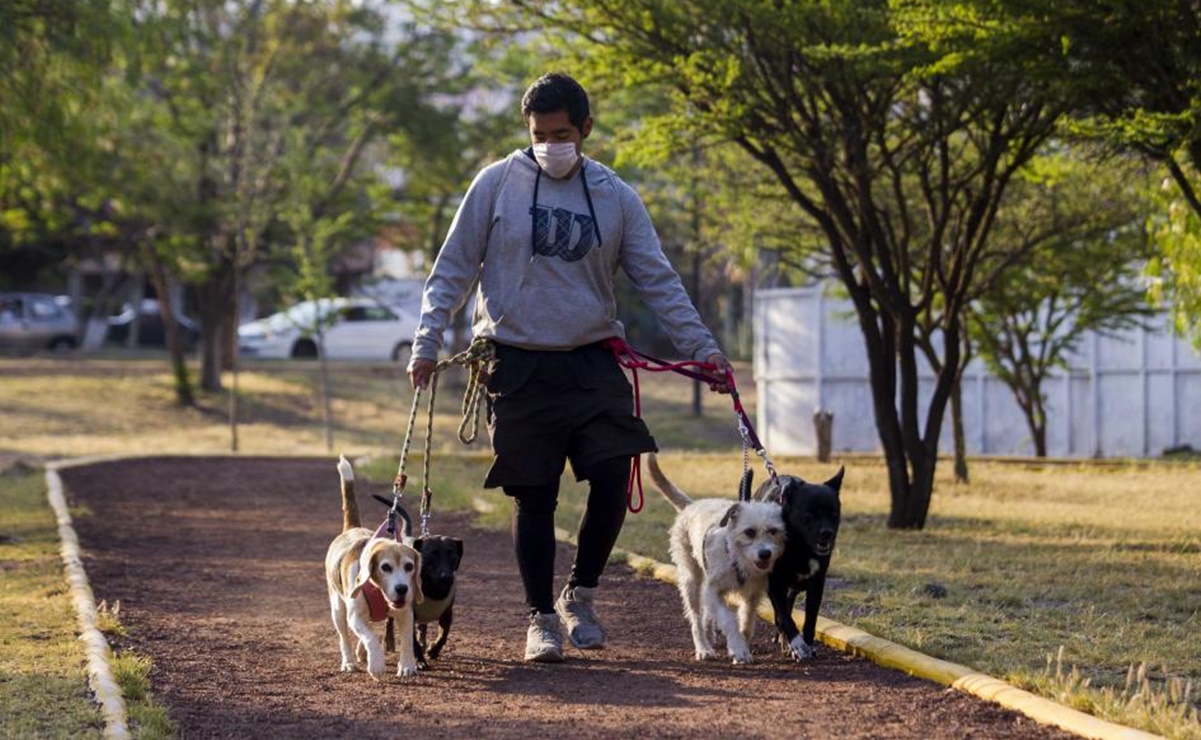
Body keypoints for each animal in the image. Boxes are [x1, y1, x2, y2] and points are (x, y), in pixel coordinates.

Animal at [367, 494, 461, 667]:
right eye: (432, 554)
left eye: (453, 555)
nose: (446, 576)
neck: (433, 590)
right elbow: (412, 641)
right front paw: (419, 661)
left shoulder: (447, 614)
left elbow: (443, 635)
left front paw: (433, 650)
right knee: (389, 621)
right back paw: (389, 641)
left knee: (422, 627)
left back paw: (424, 641)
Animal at [648, 451, 787, 663]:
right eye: (749, 532)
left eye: (773, 531)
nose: (765, 554)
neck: (738, 559)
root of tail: (692, 505)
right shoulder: (713, 591)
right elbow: (729, 619)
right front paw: (738, 648)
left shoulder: (752, 596)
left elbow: (746, 623)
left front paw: (742, 645)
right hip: (691, 581)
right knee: (696, 618)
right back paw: (703, 648)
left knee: (706, 615)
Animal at [749, 468, 845, 658]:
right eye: (809, 514)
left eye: (834, 514)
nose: (827, 533)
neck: (800, 546)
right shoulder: (775, 584)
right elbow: (785, 617)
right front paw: (797, 644)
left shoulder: (817, 584)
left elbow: (810, 618)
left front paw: (807, 644)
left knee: (790, 600)